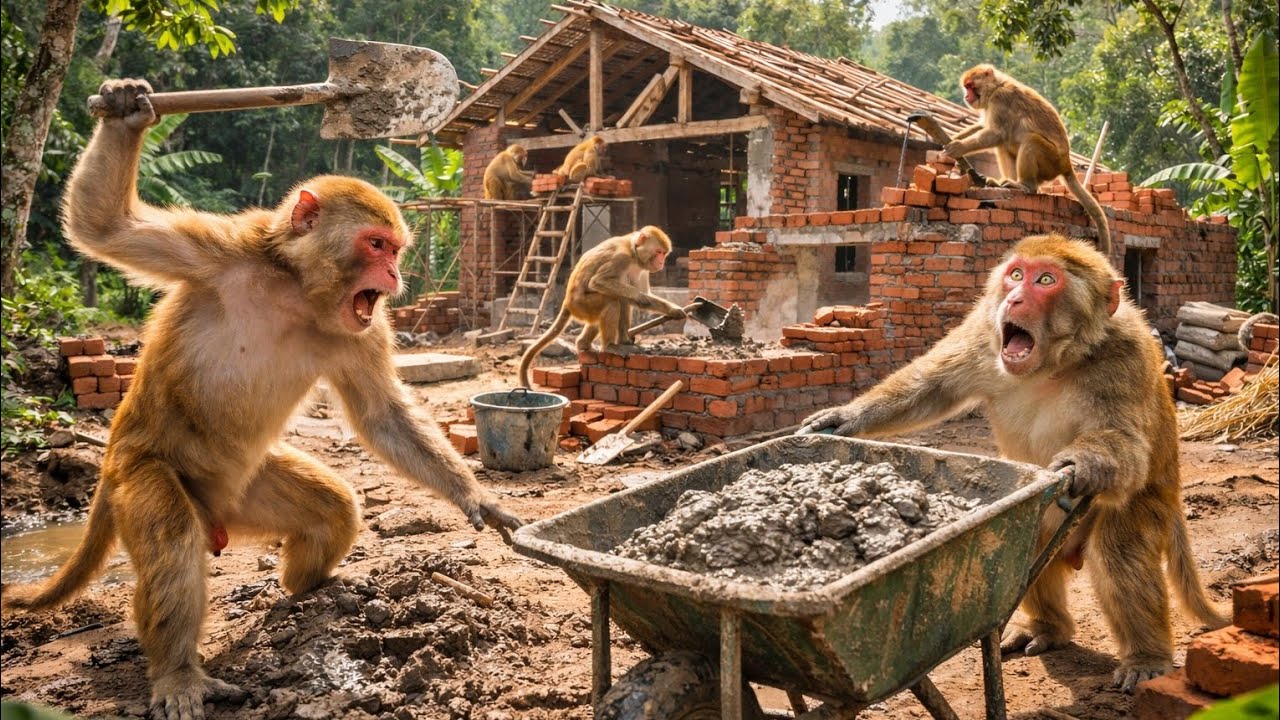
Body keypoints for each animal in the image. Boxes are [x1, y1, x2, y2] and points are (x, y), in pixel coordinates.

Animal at [0, 79, 524, 720]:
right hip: (140, 469)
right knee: (173, 535)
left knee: (332, 509)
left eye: (396, 250)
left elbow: (382, 416)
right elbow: (105, 226)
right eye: (376, 244)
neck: (298, 289)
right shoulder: (223, 249)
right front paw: (126, 112)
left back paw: (309, 590)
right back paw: (178, 673)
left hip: (242, 493)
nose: (395, 278)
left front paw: (475, 495)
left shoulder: (362, 327)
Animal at [518, 226, 685, 388]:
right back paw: (610, 346)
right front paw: (639, 296)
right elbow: (598, 281)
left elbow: (642, 296)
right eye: (659, 252)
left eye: (664, 253)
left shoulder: (642, 269)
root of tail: (567, 302)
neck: (633, 251)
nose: (661, 262)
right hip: (583, 305)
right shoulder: (621, 258)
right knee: (614, 301)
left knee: (621, 302)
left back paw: (590, 343)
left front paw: (673, 310)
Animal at [798, 234, 1227, 692]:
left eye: (1046, 280)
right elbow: (929, 388)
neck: (1053, 365)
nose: (1015, 299)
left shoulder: (1123, 357)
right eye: (1016, 274)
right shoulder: (984, 335)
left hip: (1149, 502)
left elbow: (1126, 445)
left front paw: (1081, 465)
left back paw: (1146, 657)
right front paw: (846, 417)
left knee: (1118, 552)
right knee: (1022, 551)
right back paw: (1050, 628)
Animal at [944, 64, 1112, 256]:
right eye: (966, 87)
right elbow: (984, 127)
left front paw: (958, 147)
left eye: (971, 86)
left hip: (1051, 161)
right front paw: (953, 138)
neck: (996, 86)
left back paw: (1025, 185)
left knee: (1028, 140)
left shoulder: (1000, 99)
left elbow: (995, 133)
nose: (967, 96)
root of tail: (1066, 163)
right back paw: (1006, 182)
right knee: (1004, 145)